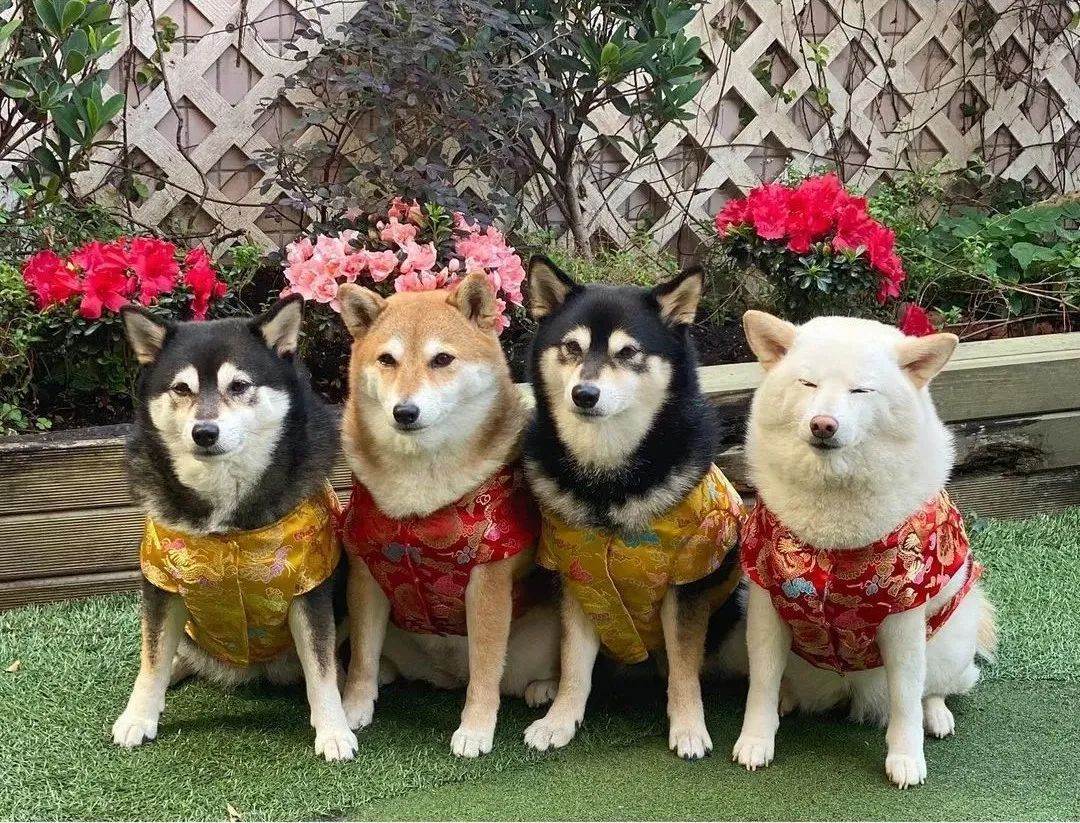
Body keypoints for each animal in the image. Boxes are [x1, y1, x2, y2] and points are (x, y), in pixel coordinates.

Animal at [112, 296, 357, 761]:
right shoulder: (161, 582)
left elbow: (321, 669)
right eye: (181, 389)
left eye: (240, 386)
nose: (204, 433)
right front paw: (138, 717)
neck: (228, 527)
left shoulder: (309, 585)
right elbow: (151, 659)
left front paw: (333, 729)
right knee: (171, 653)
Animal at [335, 273, 560, 758]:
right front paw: (352, 708)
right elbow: (361, 657)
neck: (422, 492)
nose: (405, 411)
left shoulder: (489, 579)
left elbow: (486, 671)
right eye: (387, 359)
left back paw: (544, 687)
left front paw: (475, 730)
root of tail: (445, 678)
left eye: (441, 359)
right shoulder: (366, 569)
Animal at [520, 256, 746, 760]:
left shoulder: (688, 579)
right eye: (571, 347)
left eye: (627, 353)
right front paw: (559, 719)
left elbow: (683, 668)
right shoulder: (577, 575)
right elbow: (575, 663)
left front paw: (689, 727)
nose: (584, 393)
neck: (609, 482)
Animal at [733, 310, 997, 788]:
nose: (823, 424)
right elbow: (760, 684)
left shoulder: (904, 616)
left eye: (861, 390)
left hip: (949, 644)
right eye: (808, 384)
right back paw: (787, 697)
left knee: (933, 690)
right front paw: (756, 740)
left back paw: (937, 716)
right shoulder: (766, 604)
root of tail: (848, 690)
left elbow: (906, 699)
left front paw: (907, 757)